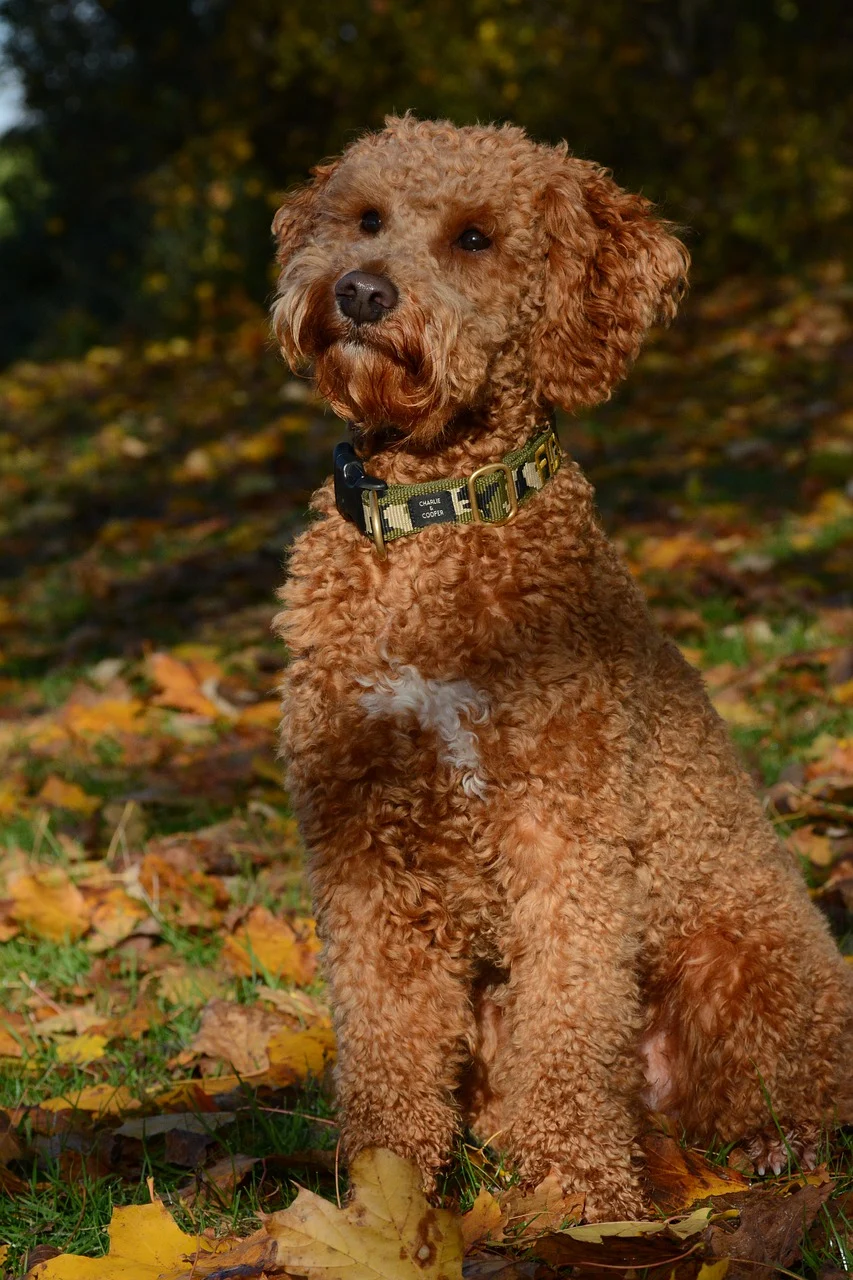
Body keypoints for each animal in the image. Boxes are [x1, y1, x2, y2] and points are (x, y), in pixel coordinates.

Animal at [267, 117, 850, 1218]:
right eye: (364, 217)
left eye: (475, 237)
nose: (359, 291)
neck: (434, 517)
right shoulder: (359, 830)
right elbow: (386, 1040)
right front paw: (380, 1205)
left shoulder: (559, 825)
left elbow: (572, 1028)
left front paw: (585, 1206)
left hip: (739, 960)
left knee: (795, 1094)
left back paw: (773, 1152)